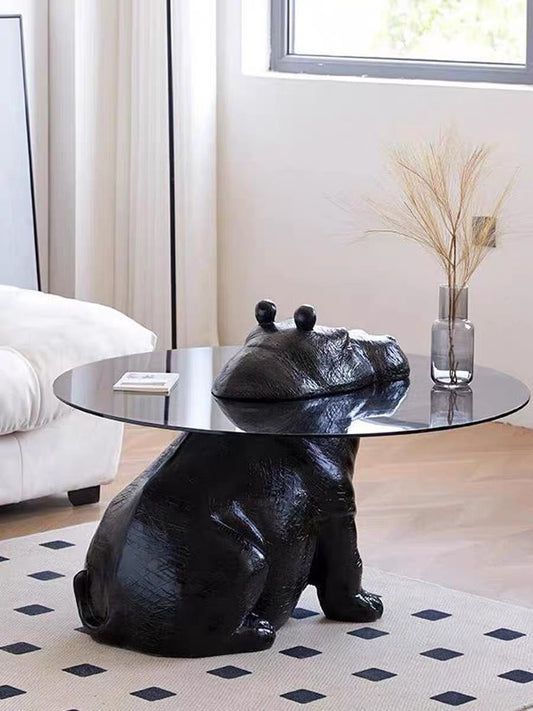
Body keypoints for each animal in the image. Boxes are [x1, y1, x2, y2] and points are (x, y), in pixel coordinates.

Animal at [74, 301, 410, 657]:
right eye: (345, 340)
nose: (391, 337)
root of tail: (112, 618)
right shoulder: (338, 505)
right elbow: (350, 563)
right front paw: (367, 608)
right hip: (247, 560)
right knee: (208, 636)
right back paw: (260, 632)